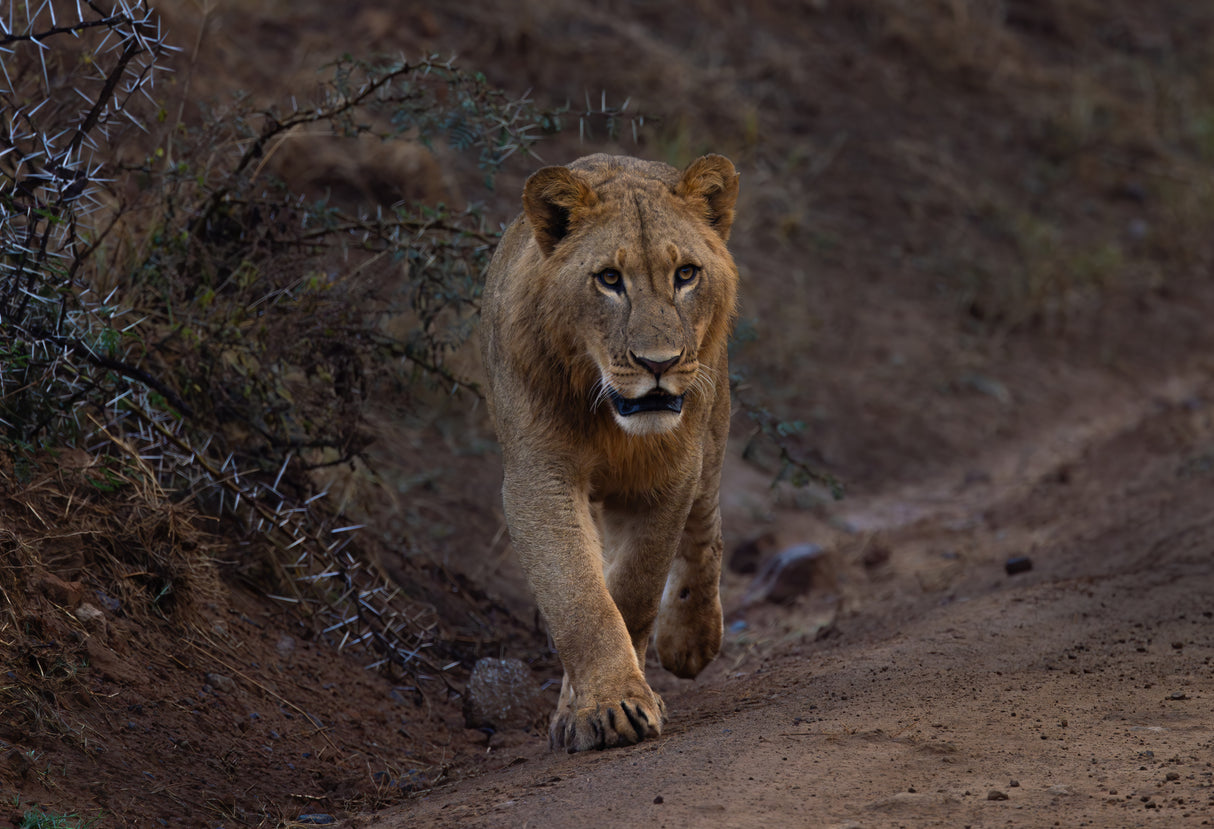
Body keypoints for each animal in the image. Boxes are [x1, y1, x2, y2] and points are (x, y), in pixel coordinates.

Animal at [480, 153, 740, 752]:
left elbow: (635, 587)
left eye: (685, 274)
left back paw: (691, 640)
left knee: (706, 522)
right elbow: (580, 596)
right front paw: (607, 706)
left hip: (711, 420)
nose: (658, 364)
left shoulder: (669, 473)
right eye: (609, 280)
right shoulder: (539, 476)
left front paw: (617, 697)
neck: (610, 421)